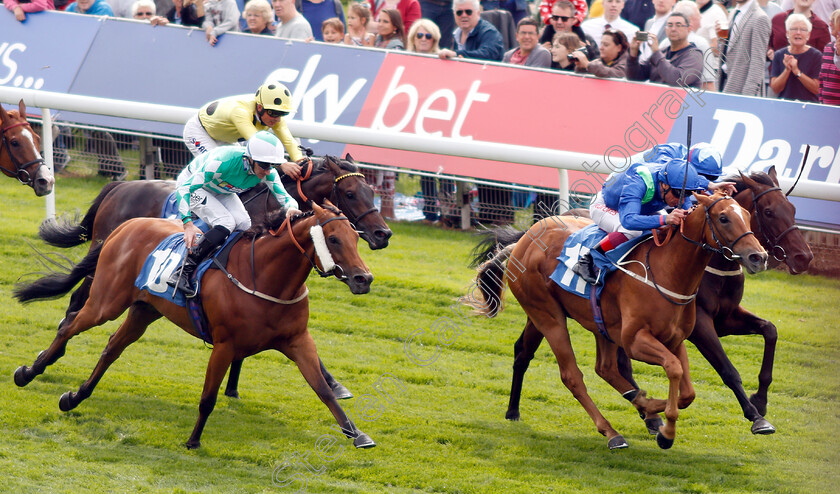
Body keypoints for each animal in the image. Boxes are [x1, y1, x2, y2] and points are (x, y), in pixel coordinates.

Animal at [12, 203, 374, 450]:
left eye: (355, 238)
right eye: (333, 239)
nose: (364, 279)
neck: (265, 277)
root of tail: (125, 226)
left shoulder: (298, 341)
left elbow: (324, 389)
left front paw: (357, 434)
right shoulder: (225, 346)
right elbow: (208, 398)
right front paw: (193, 441)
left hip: (144, 310)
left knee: (112, 347)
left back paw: (75, 397)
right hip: (106, 301)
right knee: (69, 327)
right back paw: (29, 371)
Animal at [37, 155, 392, 402]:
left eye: (372, 191)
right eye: (350, 192)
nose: (383, 233)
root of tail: (118, 186)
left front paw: (233, 385)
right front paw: (333, 383)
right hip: (105, 265)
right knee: (78, 301)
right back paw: (50, 353)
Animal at [472, 192, 768, 452]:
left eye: (747, 215)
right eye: (723, 218)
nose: (759, 256)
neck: (667, 270)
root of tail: (523, 240)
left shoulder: (676, 339)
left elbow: (687, 393)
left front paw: (653, 413)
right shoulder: (635, 340)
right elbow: (673, 369)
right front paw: (665, 432)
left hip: (595, 323)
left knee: (601, 367)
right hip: (548, 315)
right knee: (572, 376)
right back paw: (612, 433)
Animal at [502, 168, 812, 434]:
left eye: (792, 209)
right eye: (768, 212)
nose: (803, 257)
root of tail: (530, 235)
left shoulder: (724, 318)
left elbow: (770, 330)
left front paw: (760, 400)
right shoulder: (700, 325)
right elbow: (727, 370)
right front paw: (756, 417)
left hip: (576, 318)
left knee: (538, 353)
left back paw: (514, 410)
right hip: (549, 315)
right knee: (568, 370)